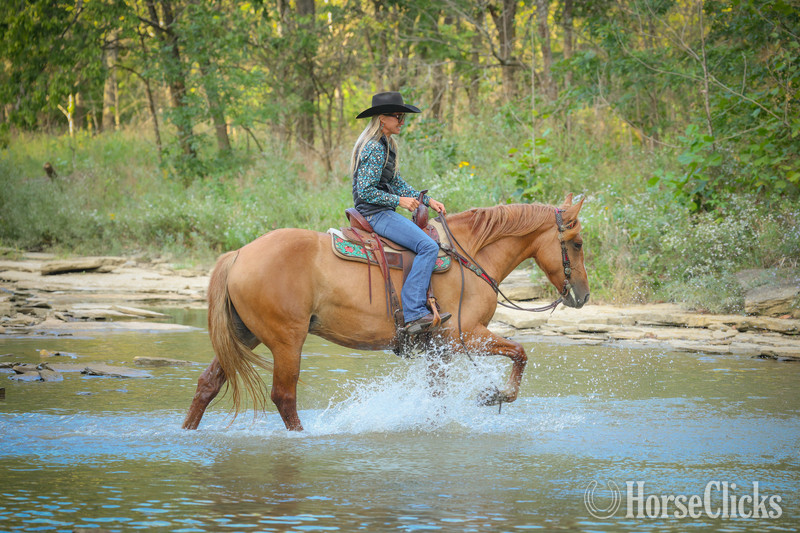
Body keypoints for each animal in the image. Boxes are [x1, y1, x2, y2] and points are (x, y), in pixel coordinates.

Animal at [182, 194, 589, 431]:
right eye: (578, 243)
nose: (583, 296)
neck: (470, 256)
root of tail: (238, 255)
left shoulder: (439, 350)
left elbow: (437, 399)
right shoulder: (464, 335)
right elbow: (520, 352)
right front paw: (495, 396)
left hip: (245, 335)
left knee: (207, 384)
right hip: (286, 342)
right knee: (283, 396)